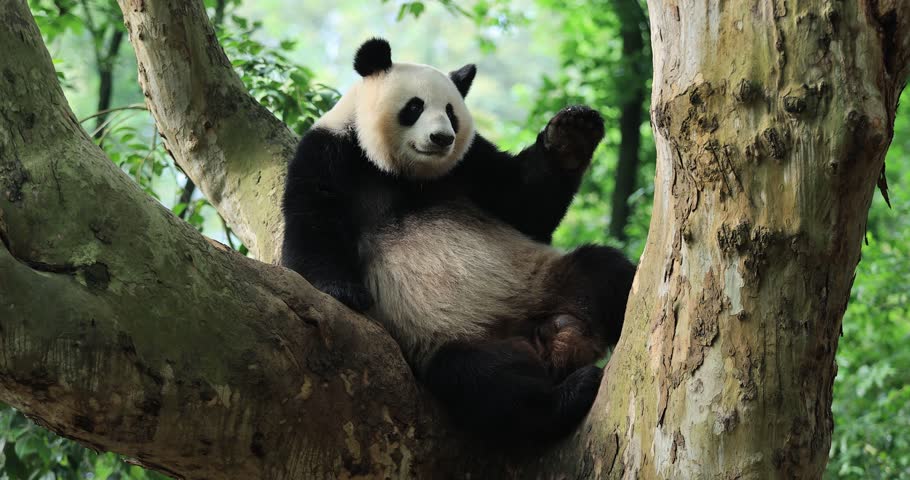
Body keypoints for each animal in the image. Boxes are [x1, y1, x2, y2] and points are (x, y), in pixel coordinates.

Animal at [281, 38, 635, 441]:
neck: (403, 173)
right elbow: (312, 222)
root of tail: (539, 338)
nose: (441, 138)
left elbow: (527, 204)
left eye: (451, 113)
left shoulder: (472, 162)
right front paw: (343, 291)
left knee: (604, 273)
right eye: (415, 106)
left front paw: (572, 134)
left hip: (542, 281)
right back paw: (567, 393)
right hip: (443, 339)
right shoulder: (330, 153)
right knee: (487, 385)